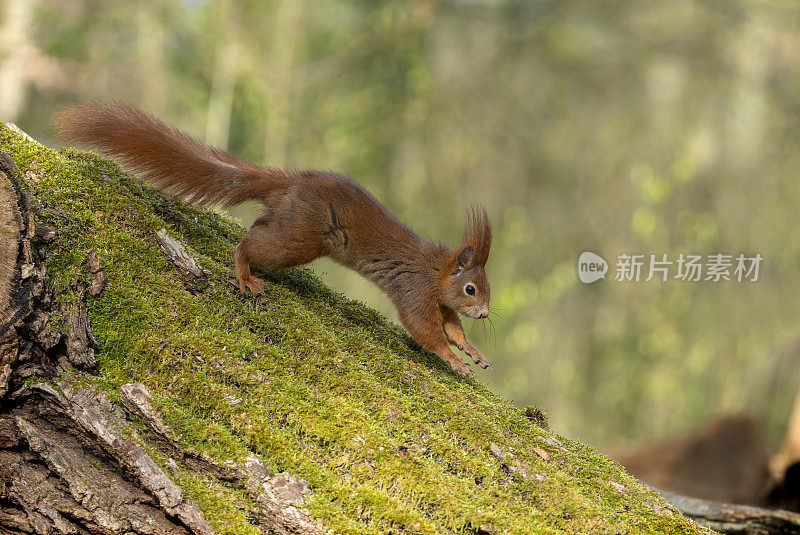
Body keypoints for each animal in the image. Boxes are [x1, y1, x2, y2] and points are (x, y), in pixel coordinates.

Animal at [56, 102, 490, 374]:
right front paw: (453, 359)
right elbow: (425, 330)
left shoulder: (440, 301)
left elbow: (453, 327)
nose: (486, 314)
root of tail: (287, 184)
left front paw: (473, 351)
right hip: (301, 239)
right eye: (471, 289)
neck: (437, 271)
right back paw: (245, 275)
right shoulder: (415, 289)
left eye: (483, 289)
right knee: (250, 243)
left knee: (258, 228)